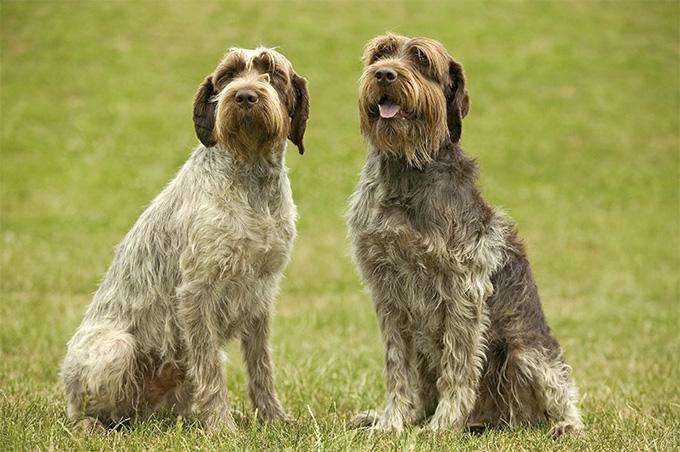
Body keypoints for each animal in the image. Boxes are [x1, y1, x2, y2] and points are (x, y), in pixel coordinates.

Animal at [61, 47, 310, 432]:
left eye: (272, 72)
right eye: (228, 75)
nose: (245, 96)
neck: (252, 180)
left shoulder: (261, 292)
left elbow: (261, 366)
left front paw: (273, 418)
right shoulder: (197, 293)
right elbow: (211, 369)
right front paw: (222, 428)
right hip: (116, 347)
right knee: (82, 411)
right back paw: (92, 426)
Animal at [348, 34, 580, 438]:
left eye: (422, 59)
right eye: (381, 53)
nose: (385, 74)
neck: (407, 171)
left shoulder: (463, 287)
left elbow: (457, 366)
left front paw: (442, 425)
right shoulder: (387, 290)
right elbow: (397, 369)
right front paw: (391, 422)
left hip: (527, 352)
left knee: (562, 393)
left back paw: (567, 426)